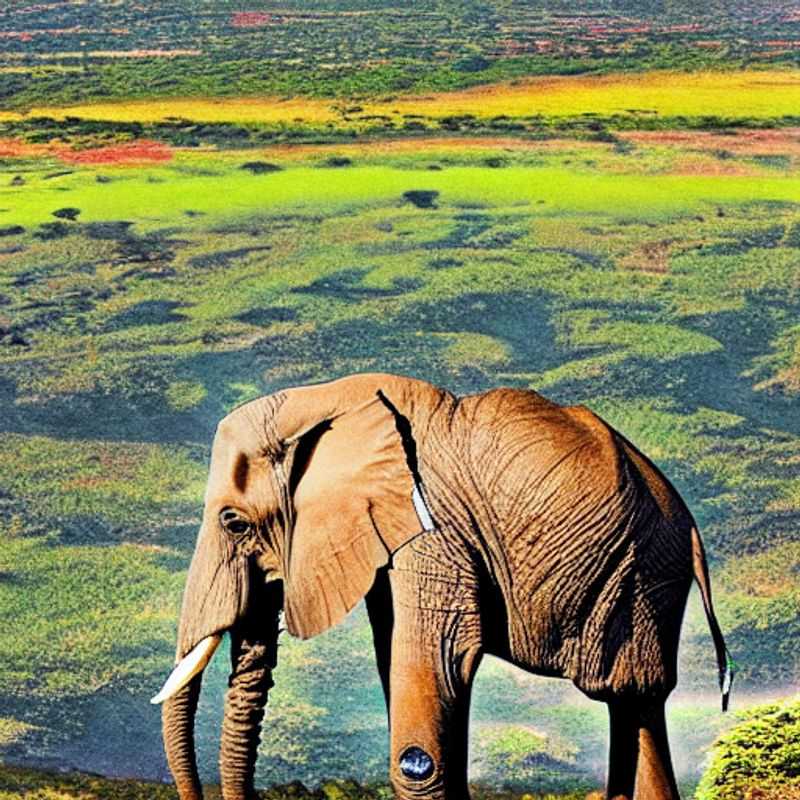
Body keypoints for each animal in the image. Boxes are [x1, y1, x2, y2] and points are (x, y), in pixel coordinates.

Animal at [152, 372, 733, 800]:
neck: (329, 400)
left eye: (233, 522)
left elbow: (427, 740)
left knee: (628, 697)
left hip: (642, 573)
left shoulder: (435, 529)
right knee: (635, 705)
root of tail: (691, 526)